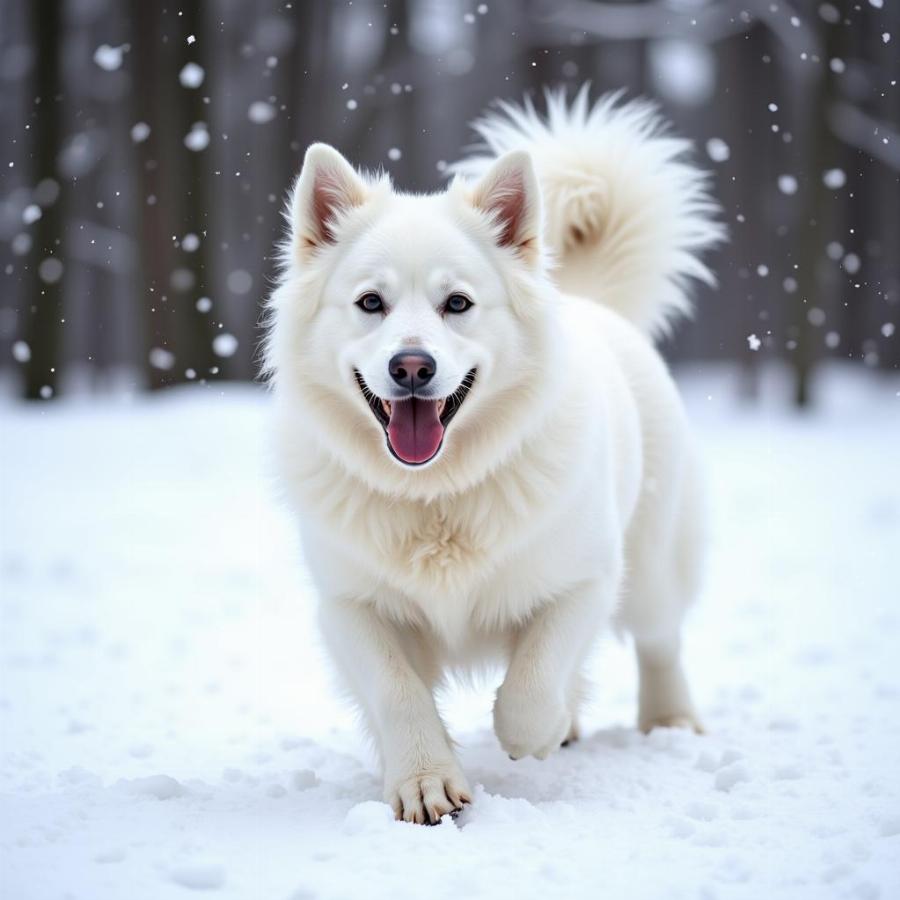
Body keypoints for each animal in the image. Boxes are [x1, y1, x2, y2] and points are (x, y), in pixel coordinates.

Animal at [266, 89, 724, 824]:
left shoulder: (586, 579)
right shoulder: (350, 604)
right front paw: (425, 783)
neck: (436, 493)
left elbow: (534, 683)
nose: (412, 366)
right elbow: (398, 692)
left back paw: (669, 722)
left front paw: (533, 732)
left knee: (660, 641)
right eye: (371, 302)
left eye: (457, 303)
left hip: (653, 563)